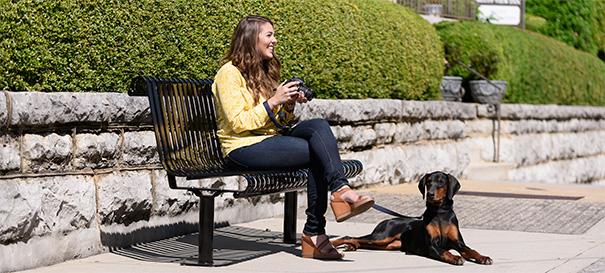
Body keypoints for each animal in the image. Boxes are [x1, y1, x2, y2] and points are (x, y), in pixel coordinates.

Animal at [330, 171, 490, 264]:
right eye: (428, 182)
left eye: (441, 182)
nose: (430, 194)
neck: (439, 213)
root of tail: (387, 221)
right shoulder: (432, 245)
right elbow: (444, 251)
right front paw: (455, 257)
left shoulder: (458, 243)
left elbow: (471, 250)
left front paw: (483, 257)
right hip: (382, 236)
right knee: (351, 236)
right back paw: (337, 244)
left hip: (389, 244)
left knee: (363, 242)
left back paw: (352, 246)